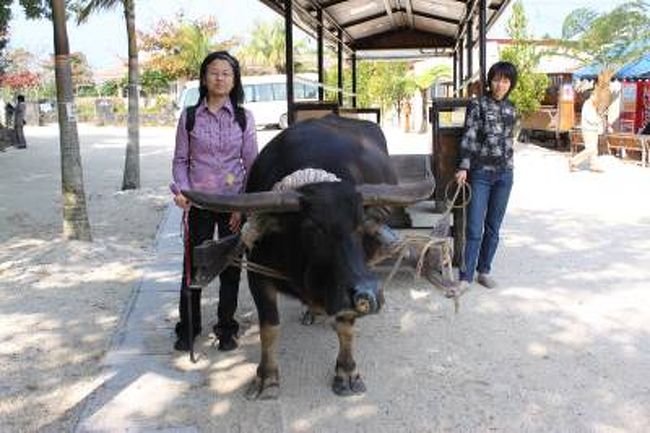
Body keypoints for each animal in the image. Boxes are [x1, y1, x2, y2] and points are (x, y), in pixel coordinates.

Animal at [185, 115, 432, 398]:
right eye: (313, 227)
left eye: (362, 224)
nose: (369, 294)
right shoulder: (258, 273)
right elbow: (269, 327)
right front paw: (266, 377)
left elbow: (346, 325)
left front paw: (347, 372)